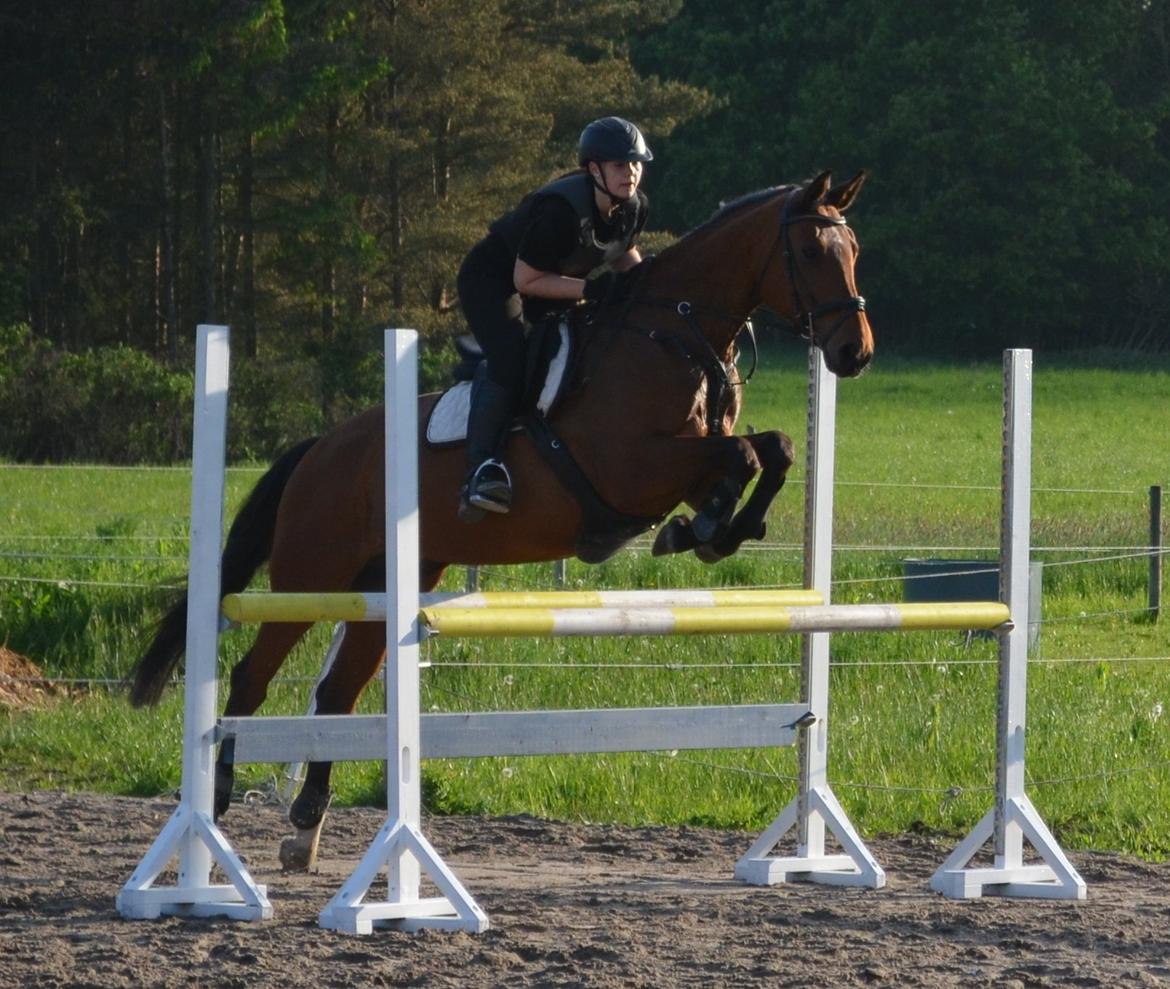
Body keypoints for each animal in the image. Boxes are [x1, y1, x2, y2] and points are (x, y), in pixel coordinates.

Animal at [132, 169, 875, 866]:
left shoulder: (685, 466)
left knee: (338, 693)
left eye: (855, 251)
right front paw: (708, 530)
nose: (855, 353)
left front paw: (720, 530)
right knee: (251, 677)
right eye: (811, 251)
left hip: (393, 581)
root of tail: (320, 448)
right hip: (310, 575)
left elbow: (773, 448)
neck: (675, 333)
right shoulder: (633, 467)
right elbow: (745, 452)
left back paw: (305, 827)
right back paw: (215, 808)